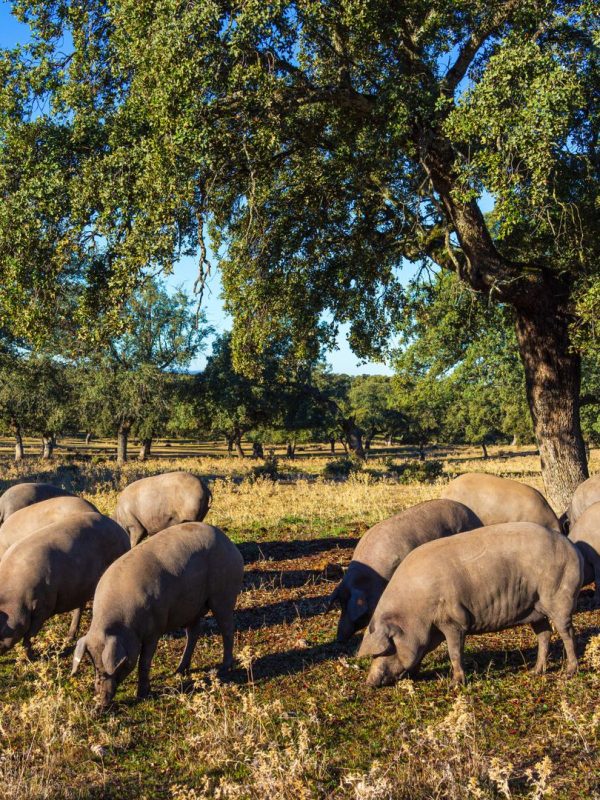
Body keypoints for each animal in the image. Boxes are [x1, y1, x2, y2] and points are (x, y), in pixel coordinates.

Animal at [0, 513, 129, 656]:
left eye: (1, 631)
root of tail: (120, 529)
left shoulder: (44, 607)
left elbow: (30, 636)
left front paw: (31, 657)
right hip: (81, 585)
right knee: (80, 606)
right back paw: (69, 637)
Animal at [71, 522, 244, 708]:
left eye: (112, 667)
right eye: (94, 665)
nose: (99, 705)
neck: (125, 624)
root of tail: (230, 545)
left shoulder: (154, 629)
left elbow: (144, 662)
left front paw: (142, 695)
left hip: (223, 594)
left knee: (227, 629)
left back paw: (224, 668)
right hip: (193, 607)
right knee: (194, 632)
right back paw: (179, 670)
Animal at [358, 523, 582, 686]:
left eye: (386, 650)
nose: (369, 683)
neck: (414, 611)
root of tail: (572, 547)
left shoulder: (453, 621)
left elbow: (455, 652)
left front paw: (455, 685)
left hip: (559, 596)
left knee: (567, 632)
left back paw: (570, 673)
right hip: (535, 608)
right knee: (545, 634)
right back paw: (535, 672)